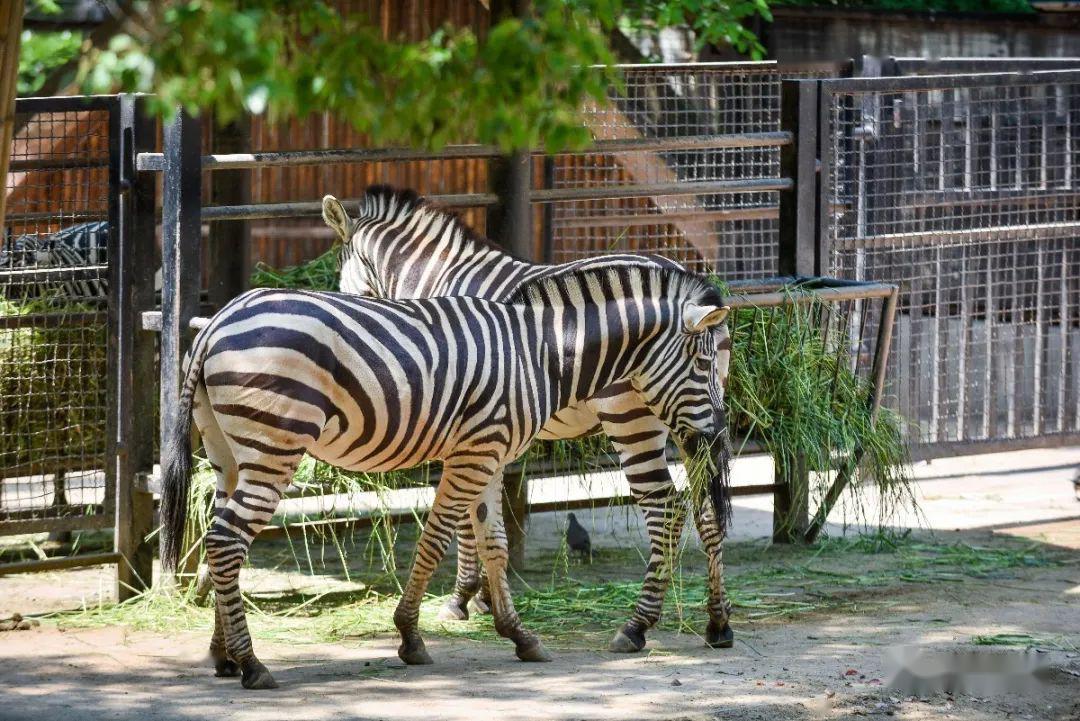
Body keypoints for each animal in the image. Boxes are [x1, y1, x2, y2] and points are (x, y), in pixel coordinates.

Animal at [159, 262, 730, 690]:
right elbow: (436, 539)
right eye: (705, 365)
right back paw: (253, 665)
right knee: (228, 541)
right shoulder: (476, 451)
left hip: (228, 452)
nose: (719, 431)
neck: (540, 354)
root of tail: (219, 319)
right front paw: (411, 636)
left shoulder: (491, 453)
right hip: (275, 445)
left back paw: (224, 655)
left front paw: (518, 635)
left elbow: (494, 542)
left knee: (220, 539)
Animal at [319, 185, 738, 651]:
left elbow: (465, 519)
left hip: (632, 418)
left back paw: (636, 625)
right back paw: (718, 621)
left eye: (342, 280)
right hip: (690, 420)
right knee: (706, 511)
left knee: (665, 507)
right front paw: (485, 597)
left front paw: (462, 598)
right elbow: (484, 515)